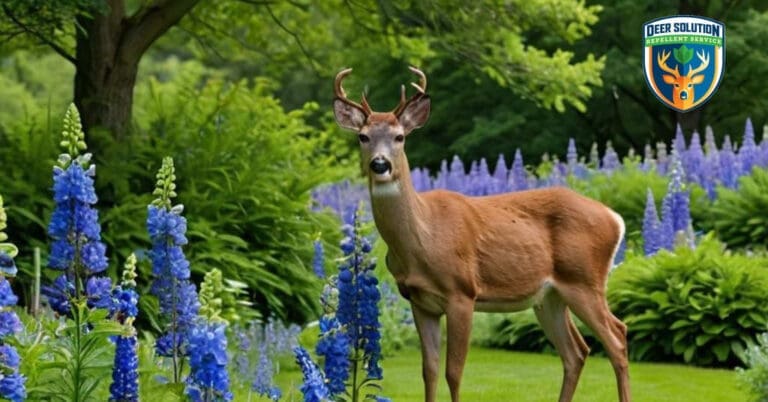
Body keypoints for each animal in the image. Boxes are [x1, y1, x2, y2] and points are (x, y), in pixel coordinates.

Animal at [333, 67, 630, 402]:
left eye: (400, 137)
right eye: (363, 136)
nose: (380, 164)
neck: (423, 240)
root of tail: (615, 218)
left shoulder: (462, 292)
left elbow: (453, 372)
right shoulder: (419, 300)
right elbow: (429, 371)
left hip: (584, 280)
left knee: (617, 337)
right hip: (550, 296)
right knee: (576, 352)